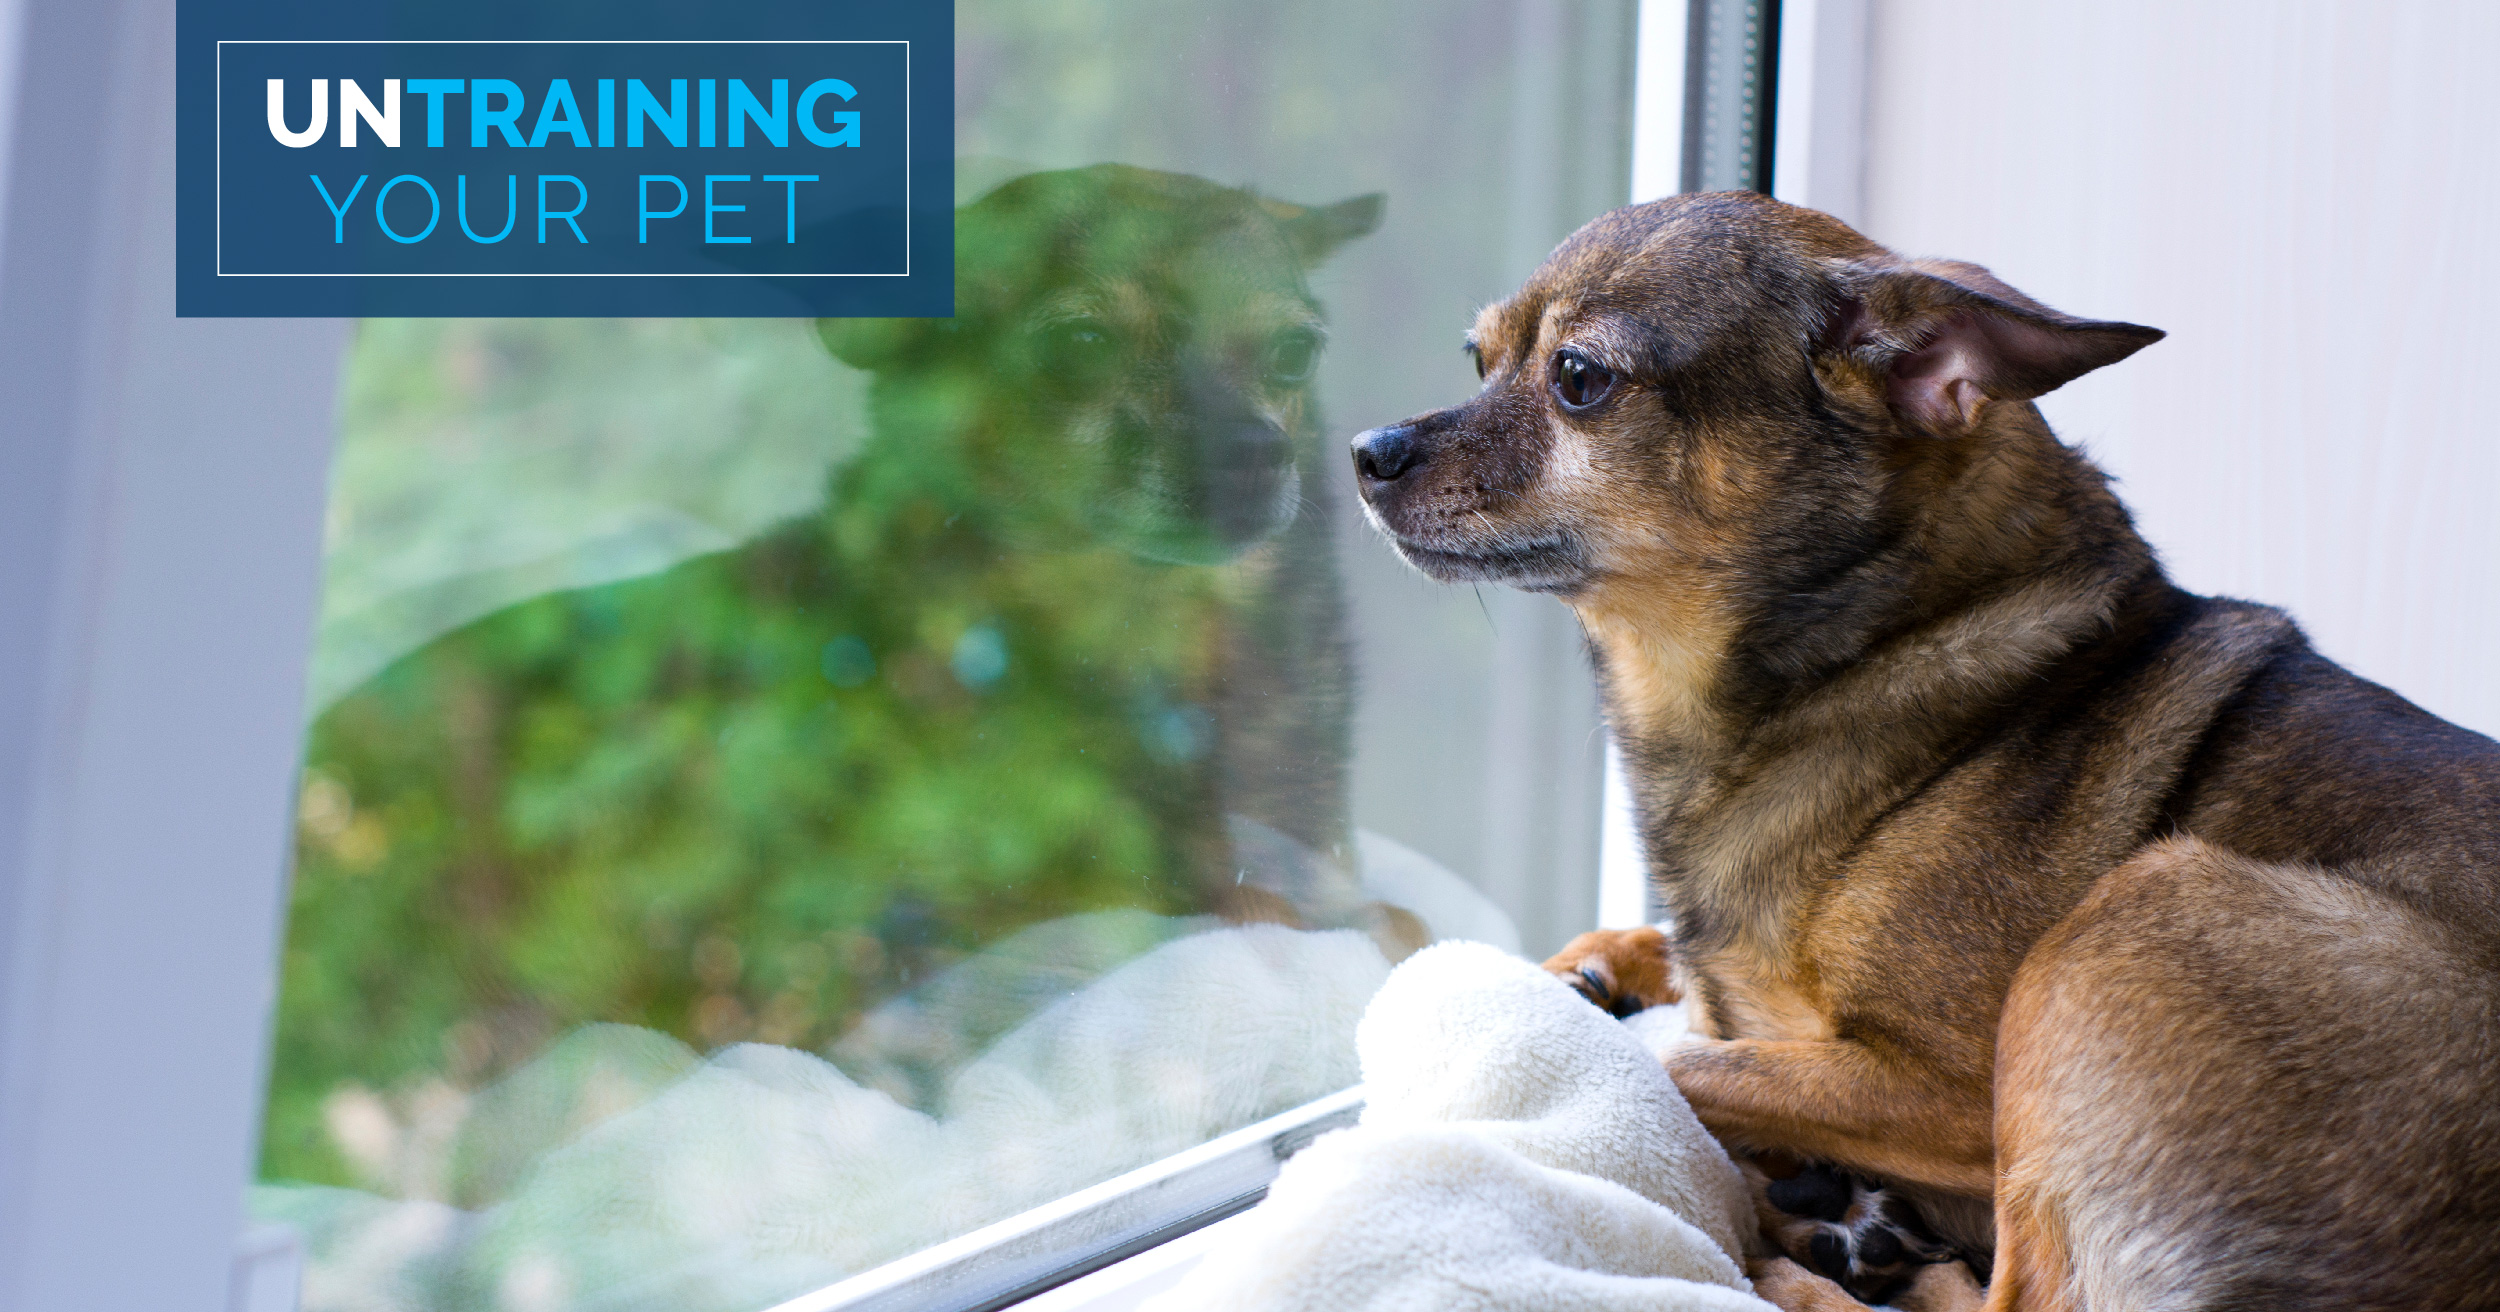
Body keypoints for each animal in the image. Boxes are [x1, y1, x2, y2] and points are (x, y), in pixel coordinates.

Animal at [1360, 188, 2500, 1299]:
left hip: (2138, 909)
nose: (1369, 451)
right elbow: (1681, 990)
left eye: (1578, 378)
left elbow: (1679, 1069)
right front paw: (1604, 968)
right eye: (1478, 358)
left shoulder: (1947, 1092)